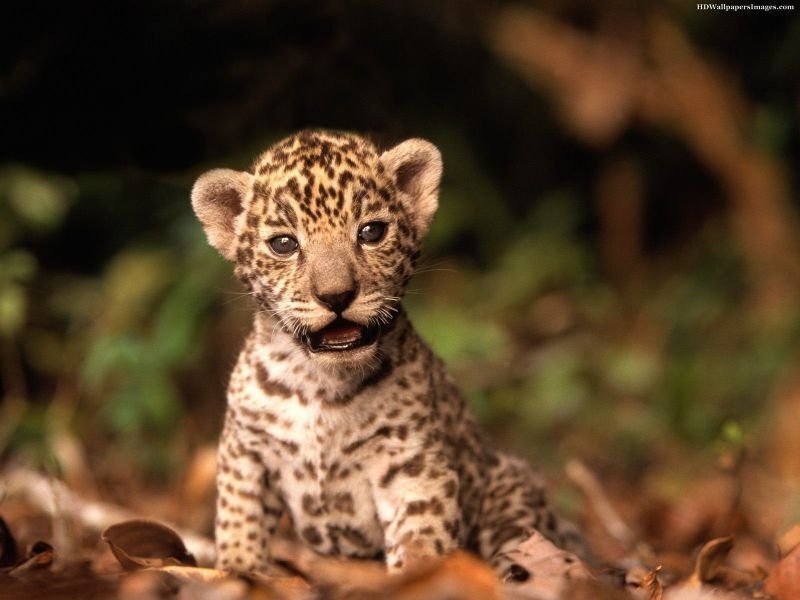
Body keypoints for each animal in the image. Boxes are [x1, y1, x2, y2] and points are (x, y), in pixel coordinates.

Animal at [191, 130, 581, 580]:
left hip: (513, 496)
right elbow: (240, 516)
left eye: (371, 232)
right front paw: (239, 570)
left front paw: (417, 579)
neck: (320, 383)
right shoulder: (246, 450)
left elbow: (421, 533)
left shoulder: (410, 460)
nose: (336, 295)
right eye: (284, 244)